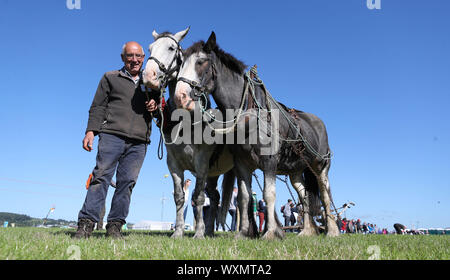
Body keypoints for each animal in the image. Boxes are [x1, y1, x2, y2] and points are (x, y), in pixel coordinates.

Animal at [172, 32, 338, 238]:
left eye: (201, 62)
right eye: (181, 63)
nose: (180, 97)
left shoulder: (269, 162)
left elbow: (269, 194)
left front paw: (270, 233)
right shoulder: (242, 163)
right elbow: (244, 197)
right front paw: (243, 233)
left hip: (320, 166)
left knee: (325, 194)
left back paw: (332, 230)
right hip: (296, 171)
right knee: (304, 194)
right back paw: (307, 231)